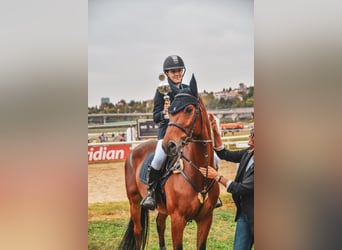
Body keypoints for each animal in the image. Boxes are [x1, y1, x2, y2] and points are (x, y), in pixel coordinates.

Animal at [117, 74, 219, 250]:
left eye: (188, 109)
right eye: (169, 113)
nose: (168, 145)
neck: (200, 174)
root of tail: (134, 150)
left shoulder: (206, 219)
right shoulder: (178, 220)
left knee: (160, 223)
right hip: (134, 201)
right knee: (138, 231)